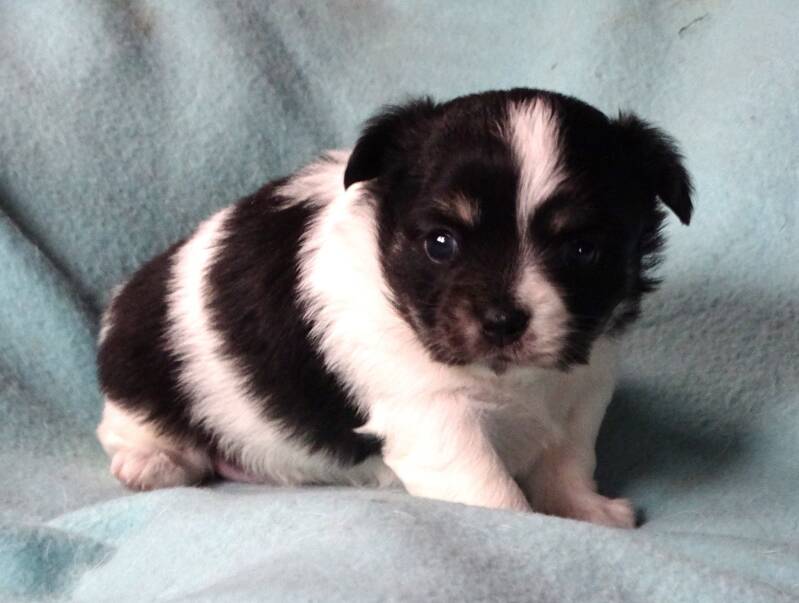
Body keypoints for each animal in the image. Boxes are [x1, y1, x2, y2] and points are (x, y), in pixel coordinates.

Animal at [96, 88, 692, 528]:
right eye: (440, 244)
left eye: (582, 250)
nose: (501, 321)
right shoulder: (431, 413)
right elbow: (493, 494)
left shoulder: (581, 396)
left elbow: (567, 462)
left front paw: (585, 511)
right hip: (142, 381)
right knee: (129, 430)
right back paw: (152, 463)